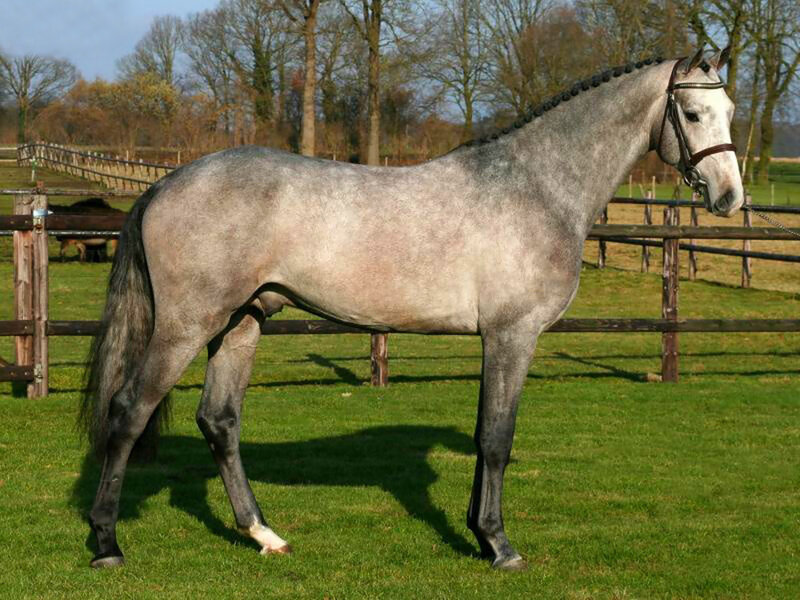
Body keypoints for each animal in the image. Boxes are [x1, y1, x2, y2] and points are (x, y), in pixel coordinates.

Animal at [81, 48, 743, 570]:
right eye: (691, 114)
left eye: (731, 112)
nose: (730, 198)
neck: (535, 186)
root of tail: (166, 184)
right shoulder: (512, 335)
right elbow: (496, 437)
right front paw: (500, 546)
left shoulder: (497, 338)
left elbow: (484, 434)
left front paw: (479, 534)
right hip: (186, 325)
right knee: (129, 410)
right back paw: (106, 543)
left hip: (242, 322)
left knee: (219, 421)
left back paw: (264, 535)